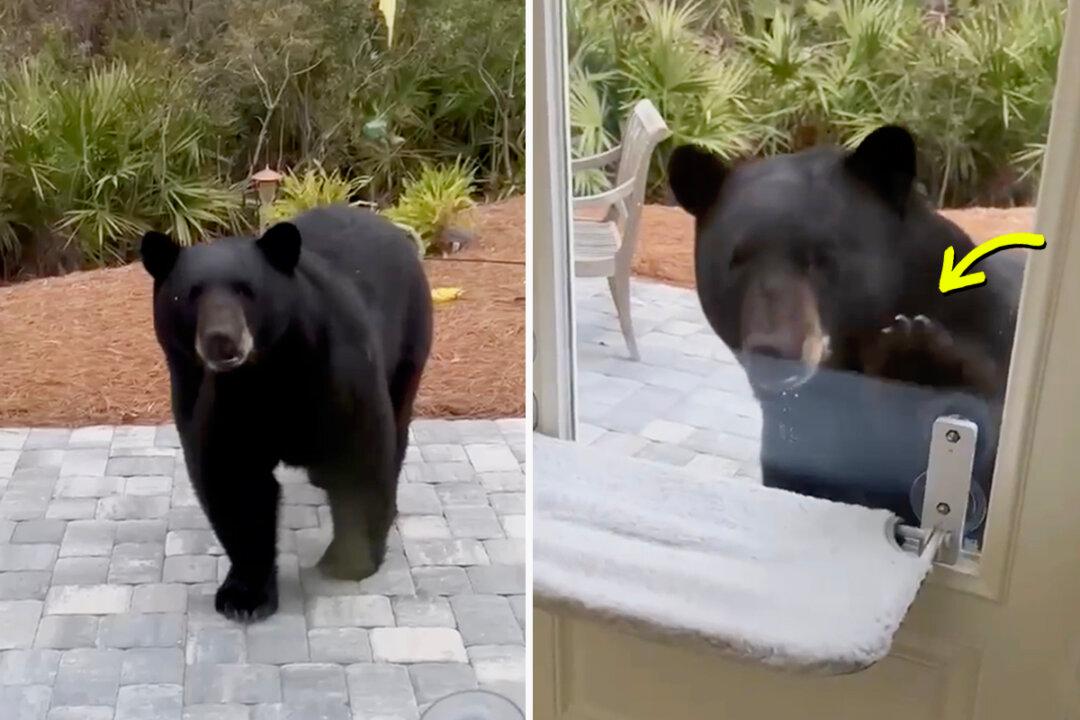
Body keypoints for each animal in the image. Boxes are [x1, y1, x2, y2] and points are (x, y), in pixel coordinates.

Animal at [140, 205, 433, 621]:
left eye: (246, 289)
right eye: (190, 294)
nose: (221, 340)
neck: (266, 374)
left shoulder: (335, 371)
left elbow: (359, 453)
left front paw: (346, 562)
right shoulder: (218, 398)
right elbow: (235, 480)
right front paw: (244, 595)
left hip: (409, 340)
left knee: (397, 421)